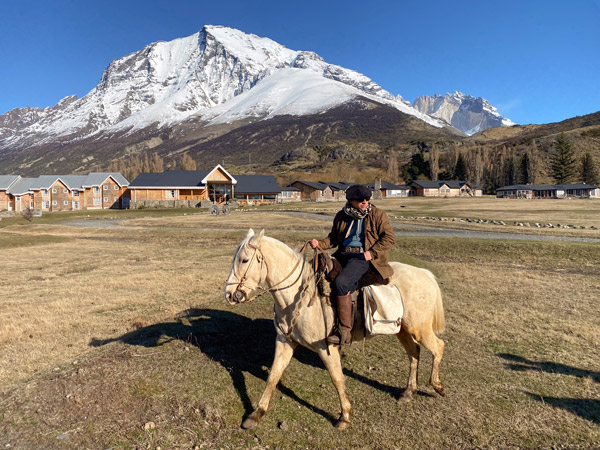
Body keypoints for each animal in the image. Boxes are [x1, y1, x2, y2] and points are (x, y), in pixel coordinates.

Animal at [225, 229, 446, 428]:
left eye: (244, 260)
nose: (229, 294)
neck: (298, 296)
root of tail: (425, 274)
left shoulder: (326, 348)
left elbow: (337, 378)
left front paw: (344, 416)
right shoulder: (285, 341)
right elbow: (273, 375)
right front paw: (257, 413)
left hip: (419, 329)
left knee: (438, 347)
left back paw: (437, 385)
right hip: (403, 330)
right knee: (414, 354)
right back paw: (408, 392)